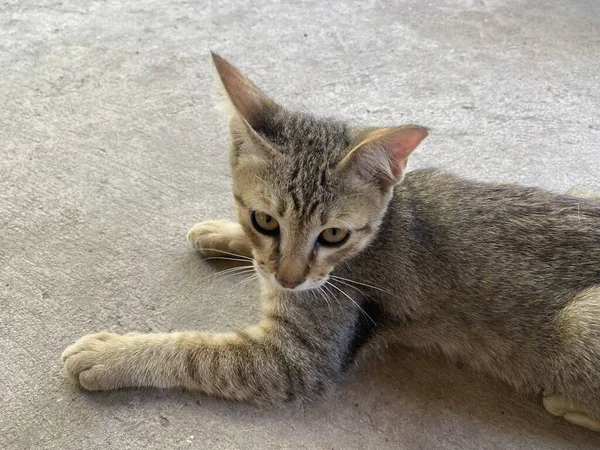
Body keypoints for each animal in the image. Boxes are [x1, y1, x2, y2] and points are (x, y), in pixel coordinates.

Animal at [62, 52, 600, 432]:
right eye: (264, 219)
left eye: (334, 234)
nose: (289, 279)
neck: (383, 227)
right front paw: (221, 231)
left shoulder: (295, 359)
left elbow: (196, 351)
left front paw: (114, 354)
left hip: (579, 322)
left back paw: (567, 404)